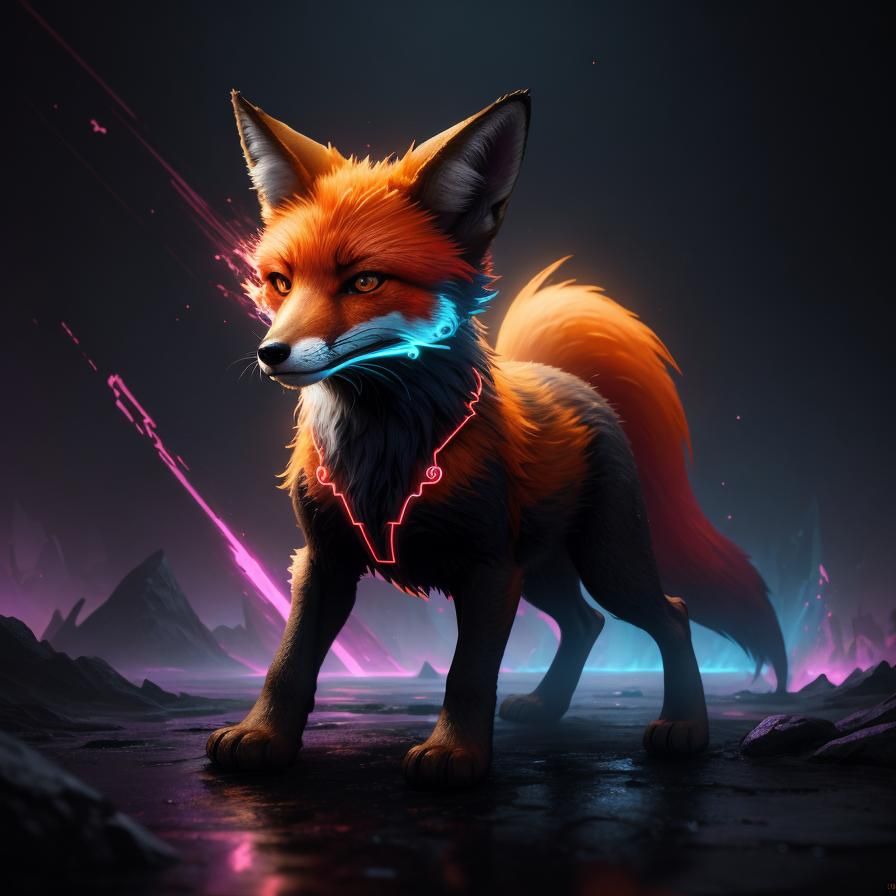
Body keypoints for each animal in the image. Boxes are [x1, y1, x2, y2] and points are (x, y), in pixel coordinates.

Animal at [206, 89, 788, 787]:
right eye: (281, 281)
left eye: (365, 281)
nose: (272, 354)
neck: (385, 450)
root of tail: (568, 379)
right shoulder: (324, 561)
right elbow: (287, 664)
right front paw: (261, 736)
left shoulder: (487, 571)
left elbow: (468, 675)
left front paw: (455, 755)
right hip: (541, 572)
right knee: (585, 622)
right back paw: (547, 706)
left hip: (603, 563)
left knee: (668, 613)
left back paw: (685, 727)